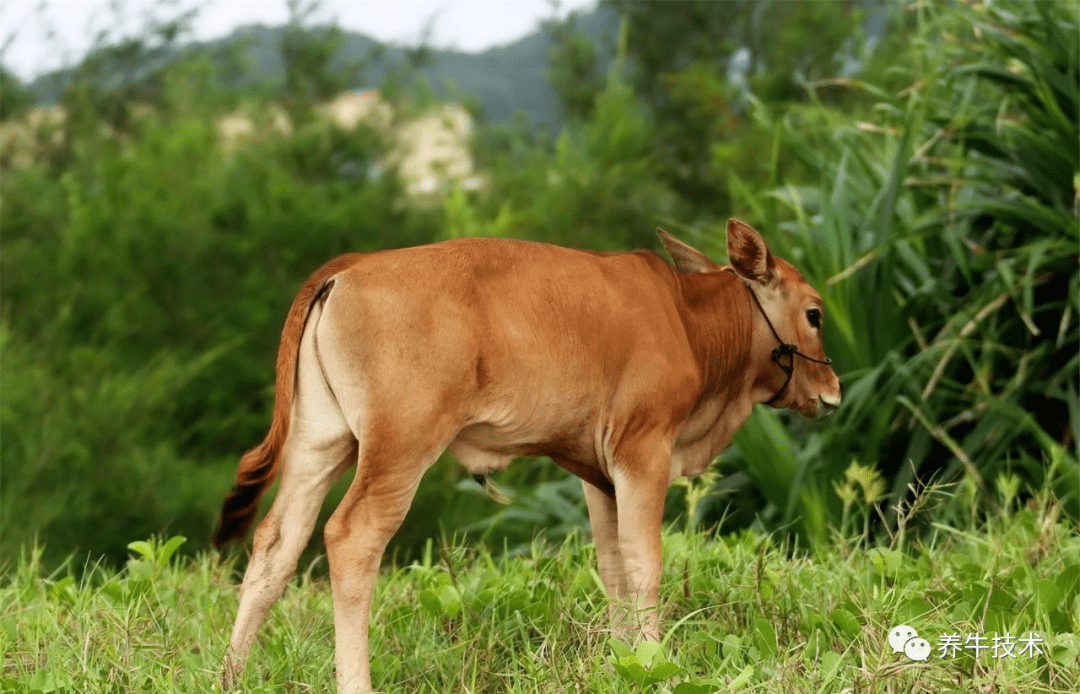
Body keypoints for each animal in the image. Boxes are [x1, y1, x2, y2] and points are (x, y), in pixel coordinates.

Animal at [212, 220, 842, 690]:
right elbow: (644, 563)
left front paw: (623, 662)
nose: (834, 390)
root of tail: (352, 265)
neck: (686, 319)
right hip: (399, 448)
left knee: (276, 544)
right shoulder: (644, 452)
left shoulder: (600, 473)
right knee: (352, 537)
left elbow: (613, 565)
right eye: (814, 313)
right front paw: (656, 662)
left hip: (320, 443)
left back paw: (231, 677)